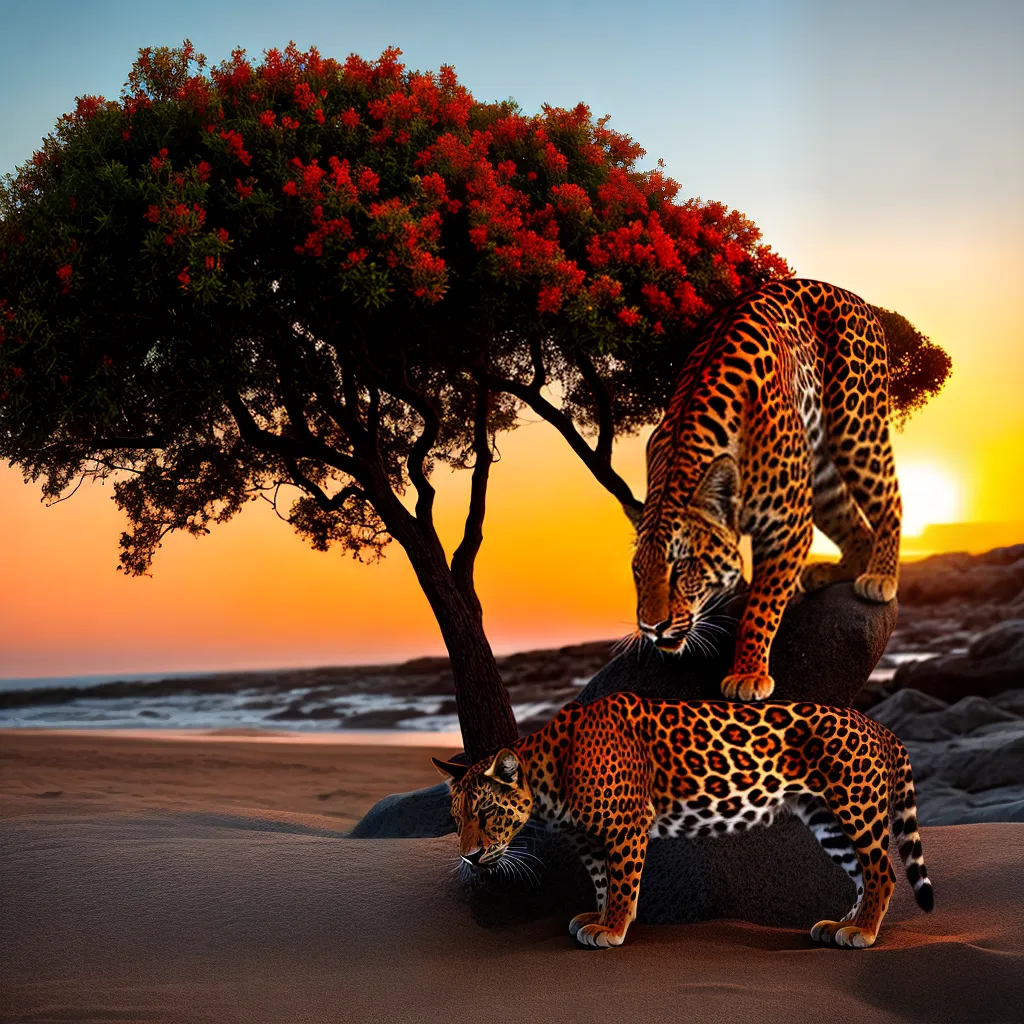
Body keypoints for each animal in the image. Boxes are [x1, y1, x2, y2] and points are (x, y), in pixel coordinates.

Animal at [434, 694, 933, 950]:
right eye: (457, 819)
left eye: (487, 813)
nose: (470, 857)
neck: (550, 774)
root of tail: (877, 724)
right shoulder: (590, 841)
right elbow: (601, 881)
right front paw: (596, 917)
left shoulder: (626, 826)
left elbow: (622, 884)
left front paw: (612, 929)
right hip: (826, 817)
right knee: (862, 873)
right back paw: (842, 923)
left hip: (856, 804)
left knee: (882, 872)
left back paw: (862, 932)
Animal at [632, 279, 902, 702]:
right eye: (637, 573)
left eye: (683, 567)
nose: (651, 629)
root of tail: (854, 296)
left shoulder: (786, 527)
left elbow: (760, 608)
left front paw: (747, 674)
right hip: (819, 473)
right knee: (854, 526)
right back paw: (828, 573)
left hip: (855, 425)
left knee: (890, 497)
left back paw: (880, 578)